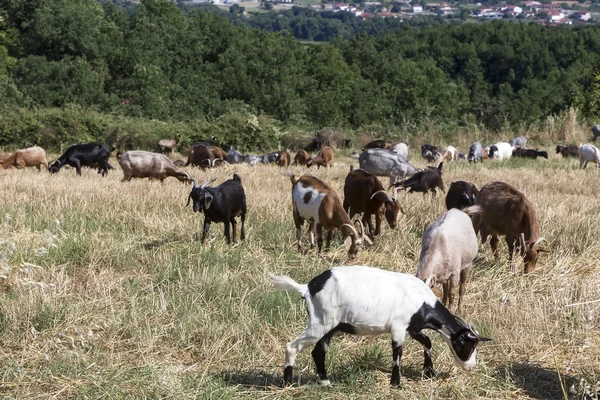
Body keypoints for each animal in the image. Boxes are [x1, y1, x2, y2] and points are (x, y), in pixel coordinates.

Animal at [270, 266, 490, 388]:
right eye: (468, 345)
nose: (471, 367)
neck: (421, 300)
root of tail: (307, 288)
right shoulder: (399, 327)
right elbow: (397, 354)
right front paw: (396, 383)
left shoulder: (412, 328)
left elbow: (427, 341)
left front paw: (429, 372)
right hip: (320, 322)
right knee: (292, 346)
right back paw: (287, 383)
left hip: (329, 327)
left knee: (318, 352)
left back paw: (325, 382)